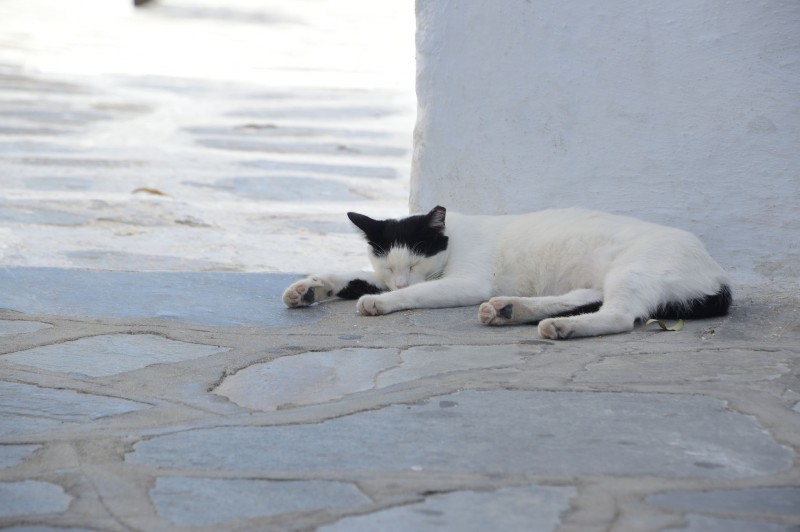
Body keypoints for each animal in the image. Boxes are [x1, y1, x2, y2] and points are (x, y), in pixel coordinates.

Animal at [282, 206, 732, 338]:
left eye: (415, 261)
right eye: (389, 263)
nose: (400, 278)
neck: (454, 240)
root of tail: (718, 274)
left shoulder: (465, 282)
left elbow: (414, 293)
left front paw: (381, 301)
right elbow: (354, 275)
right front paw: (311, 288)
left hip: (634, 269)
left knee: (620, 315)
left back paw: (561, 327)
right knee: (585, 298)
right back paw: (510, 310)